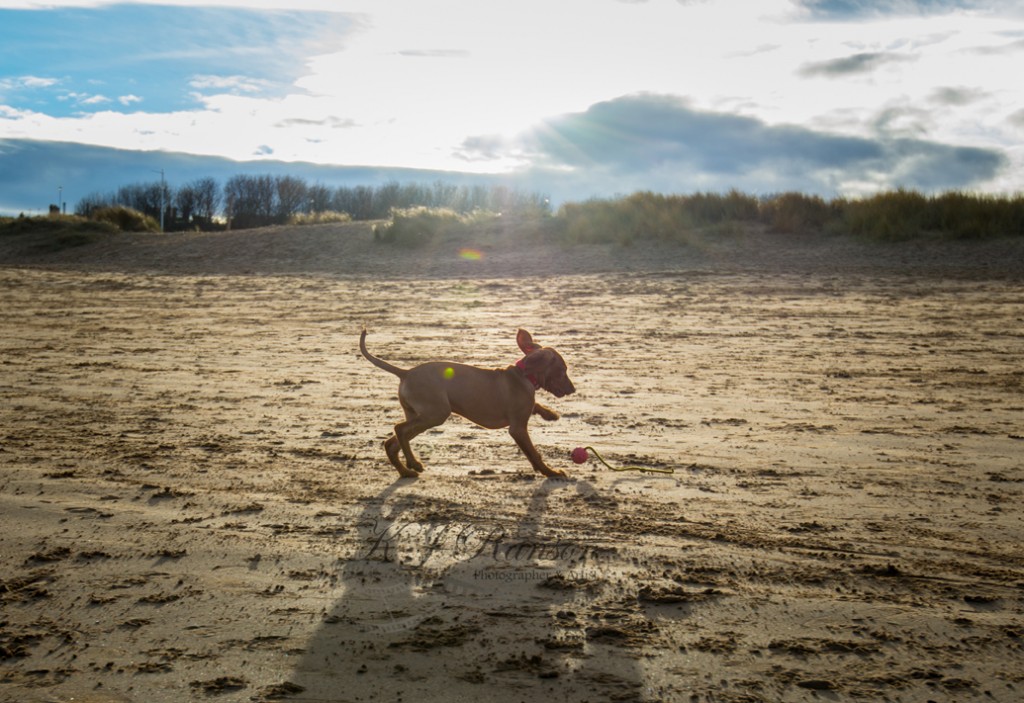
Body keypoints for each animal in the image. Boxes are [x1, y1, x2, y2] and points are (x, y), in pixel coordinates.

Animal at [358, 329, 577, 478]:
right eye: (562, 370)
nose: (573, 389)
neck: (524, 374)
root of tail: (406, 372)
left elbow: (535, 407)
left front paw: (549, 414)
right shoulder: (517, 428)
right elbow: (533, 453)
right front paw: (551, 472)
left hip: (420, 414)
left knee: (392, 442)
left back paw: (406, 471)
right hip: (436, 413)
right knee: (399, 429)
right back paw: (413, 463)